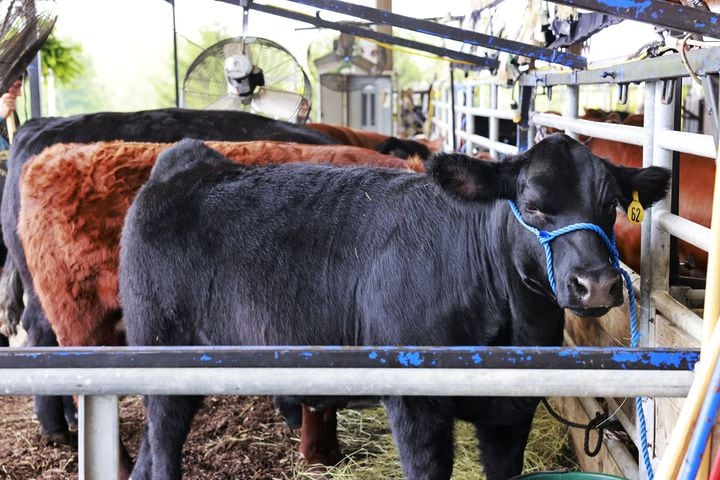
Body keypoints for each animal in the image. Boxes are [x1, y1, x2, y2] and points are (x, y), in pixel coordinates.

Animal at [122, 135, 668, 480]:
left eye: (611, 205)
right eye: (533, 205)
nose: (596, 284)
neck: (510, 326)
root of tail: (188, 162)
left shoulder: (512, 415)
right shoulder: (415, 407)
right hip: (163, 358)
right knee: (163, 452)